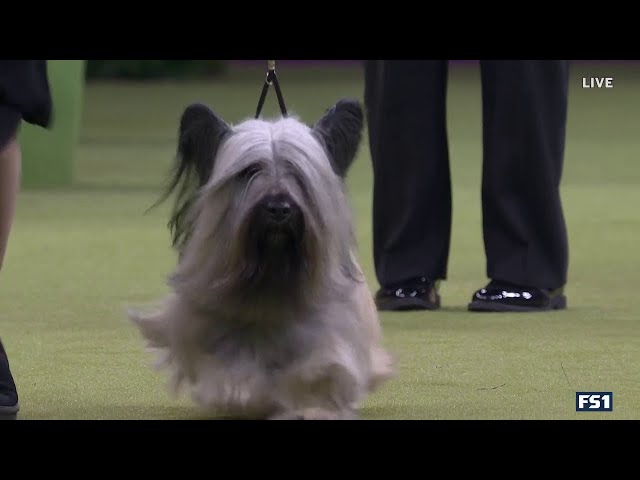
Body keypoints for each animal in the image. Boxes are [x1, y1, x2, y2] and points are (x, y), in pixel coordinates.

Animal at [127, 98, 392, 420]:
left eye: (297, 172)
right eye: (250, 171)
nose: (279, 208)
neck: (271, 269)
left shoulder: (327, 333)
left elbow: (319, 368)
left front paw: (312, 405)